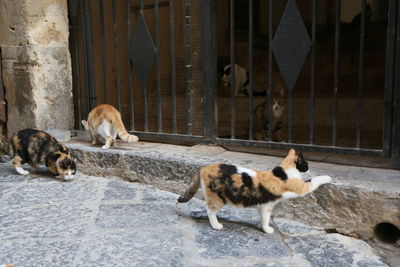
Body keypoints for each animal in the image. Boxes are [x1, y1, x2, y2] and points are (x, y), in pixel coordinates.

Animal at [178, 150, 332, 233]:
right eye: (306, 164)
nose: (309, 168)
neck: (282, 172)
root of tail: (203, 168)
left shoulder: (264, 206)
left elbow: (264, 218)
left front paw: (264, 228)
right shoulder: (301, 188)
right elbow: (314, 181)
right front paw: (328, 177)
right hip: (218, 197)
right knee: (210, 210)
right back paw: (216, 225)